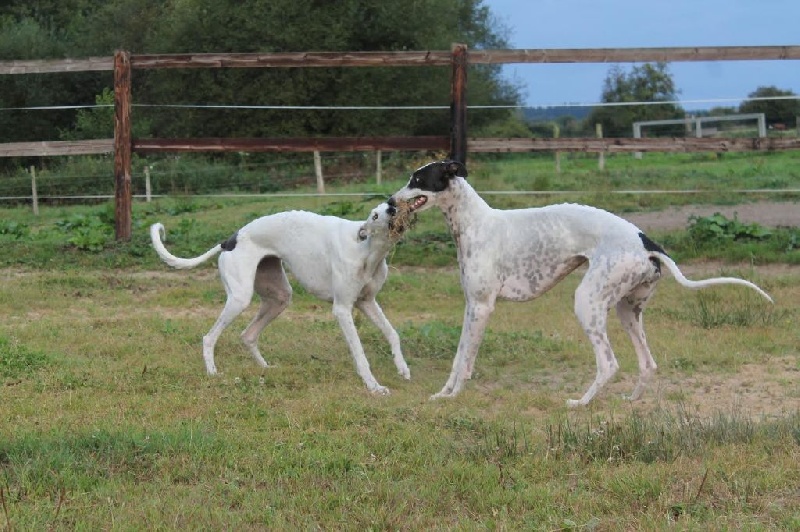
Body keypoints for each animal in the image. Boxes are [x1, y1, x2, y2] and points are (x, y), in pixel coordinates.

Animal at [149, 204, 410, 394]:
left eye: (387, 204)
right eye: (375, 214)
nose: (393, 207)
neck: (364, 247)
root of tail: (230, 240)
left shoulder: (367, 302)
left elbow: (392, 333)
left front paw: (402, 368)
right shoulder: (343, 308)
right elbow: (359, 351)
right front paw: (374, 386)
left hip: (279, 297)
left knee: (248, 334)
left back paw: (265, 368)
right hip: (239, 299)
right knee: (209, 337)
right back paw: (213, 373)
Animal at [390, 160, 772, 406]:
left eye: (417, 179)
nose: (390, 202)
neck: (477, 223)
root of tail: (646, 243)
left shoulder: (481, 307)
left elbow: (463, 358)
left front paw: (452, 395)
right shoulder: (471, 306)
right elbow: (459, 357)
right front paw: (444, 393)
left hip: (587, 302)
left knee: (609, 363)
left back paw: (580, 403)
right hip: (627, 310)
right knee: (648, 363)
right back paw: (630, 400)